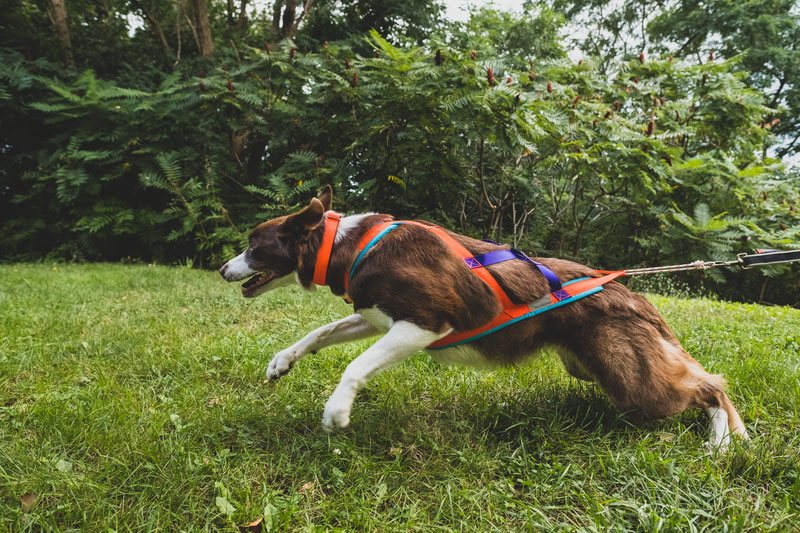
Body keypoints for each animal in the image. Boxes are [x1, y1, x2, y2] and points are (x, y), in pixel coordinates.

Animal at [220, 185, 752, 446]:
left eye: (253, 245)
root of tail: (632, 294)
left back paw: (724, 443)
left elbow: (354, 366)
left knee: (711, 385)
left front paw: (336, 411)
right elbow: (320, 330)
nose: (223, 268)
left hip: (631, 379)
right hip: (591, 366)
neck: (348, 246)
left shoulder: (424, 323)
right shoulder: (376, 317)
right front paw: (282, 362)